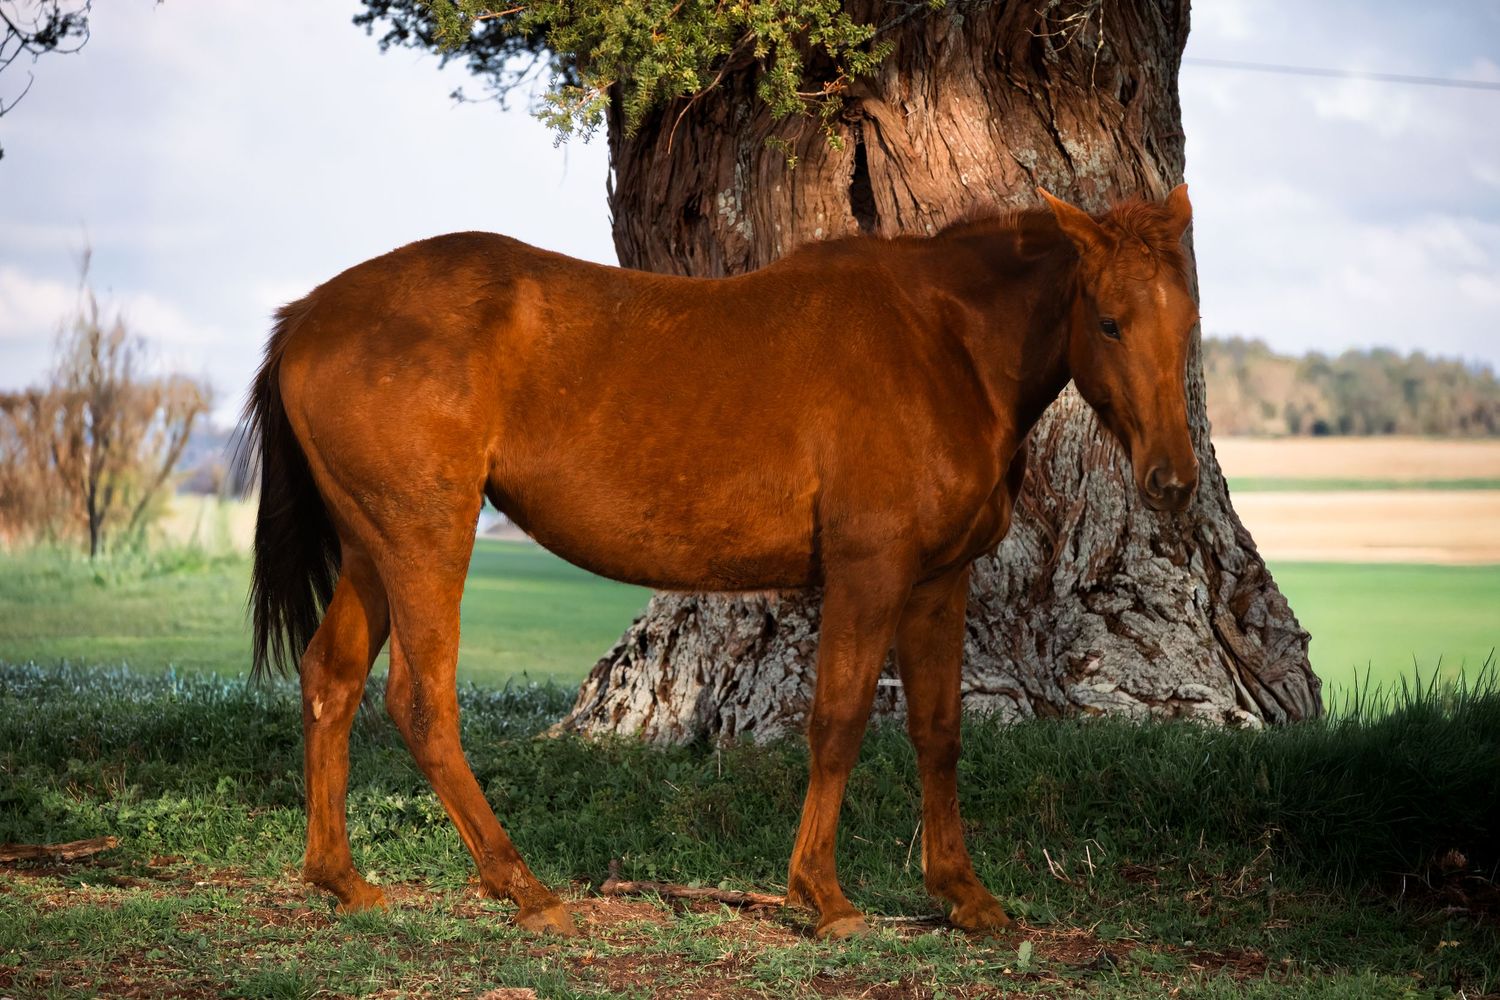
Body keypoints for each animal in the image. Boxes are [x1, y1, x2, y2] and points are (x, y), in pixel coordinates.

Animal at [242, 184, 1200, 940]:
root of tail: (308, 316)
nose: (1173, 480)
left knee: (330, 678)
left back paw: (342, 881)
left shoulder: (938, 581)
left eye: (1186, 323)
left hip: (372, 549)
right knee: (420, 701)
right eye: (1109, 321)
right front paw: (823, 897)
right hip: (425, 543)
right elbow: (839, 720)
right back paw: (525, 889)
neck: (940, 342)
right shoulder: (870, 571)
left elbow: (939, 731)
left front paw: (964, 895)